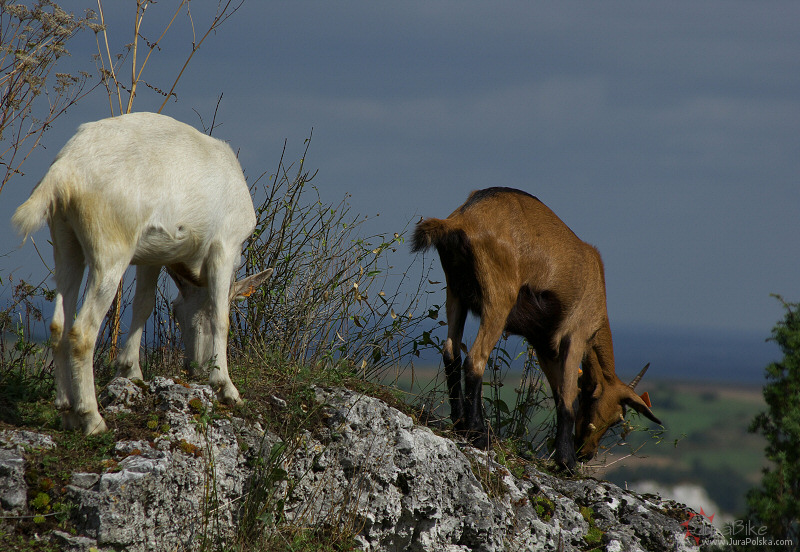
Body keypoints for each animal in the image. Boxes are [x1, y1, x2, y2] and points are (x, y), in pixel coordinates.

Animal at [11, 113, 272, 436]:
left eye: (176, 310)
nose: (194, 367)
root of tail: (63, 172)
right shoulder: (225, 245)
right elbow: (221, 316)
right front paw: (227, 389)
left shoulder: (153, 255)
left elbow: (144, 304)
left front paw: (131, 371)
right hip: (111, 248)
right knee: (82, 331)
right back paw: (92, 418)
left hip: (65, 239)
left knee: (59, 323)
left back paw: (67, 412)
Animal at [410, 188, 660, 468]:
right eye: (617, 416)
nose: (586, 453)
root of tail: (463, 219)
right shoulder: (576, 336)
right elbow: (568, 396)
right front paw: (566, 462)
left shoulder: (544, 345)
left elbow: (560, 392)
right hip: (499, 300)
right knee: (475, 359)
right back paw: (479, 435)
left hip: (455, 293)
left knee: (451, 353)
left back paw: (460, 425)